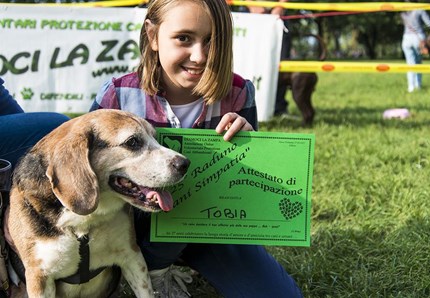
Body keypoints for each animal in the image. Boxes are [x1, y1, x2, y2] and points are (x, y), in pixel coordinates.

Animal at [4, 109, 190, 298]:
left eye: (155, 137)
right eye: (132, 142)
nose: (185, 163)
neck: (85, 221)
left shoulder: (132, 255)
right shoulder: (39, 277)